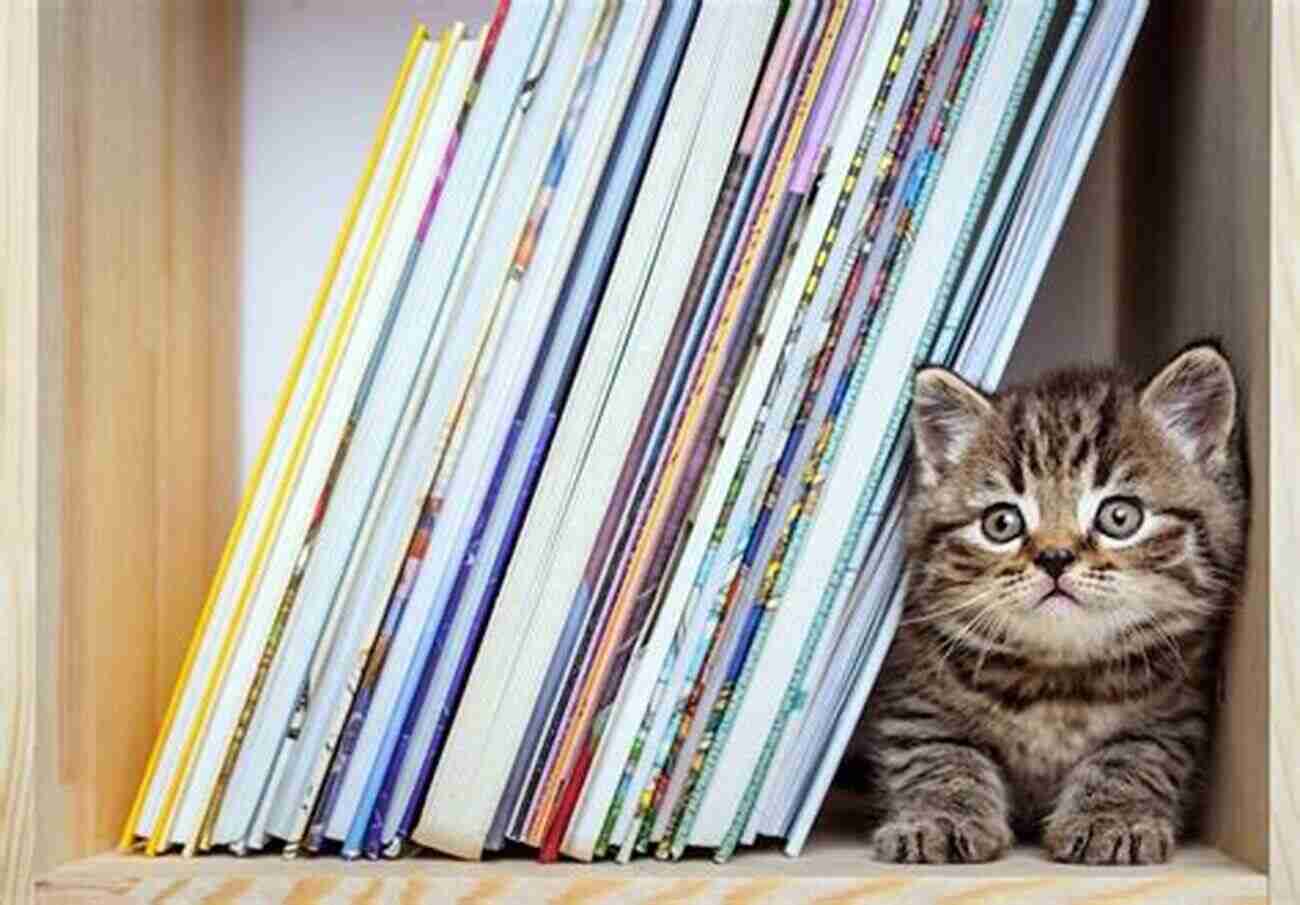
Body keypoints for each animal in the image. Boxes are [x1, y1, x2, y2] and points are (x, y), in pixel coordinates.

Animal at [857, 343, 1242, 868]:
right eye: (1001, 523)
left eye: (1120, 516)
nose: (1055, 557)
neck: (1057, 680)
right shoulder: (912, 693)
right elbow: (937, 753)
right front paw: (941, 817)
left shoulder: (1177, 708)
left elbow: (1136, 754)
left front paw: (1111, 819)